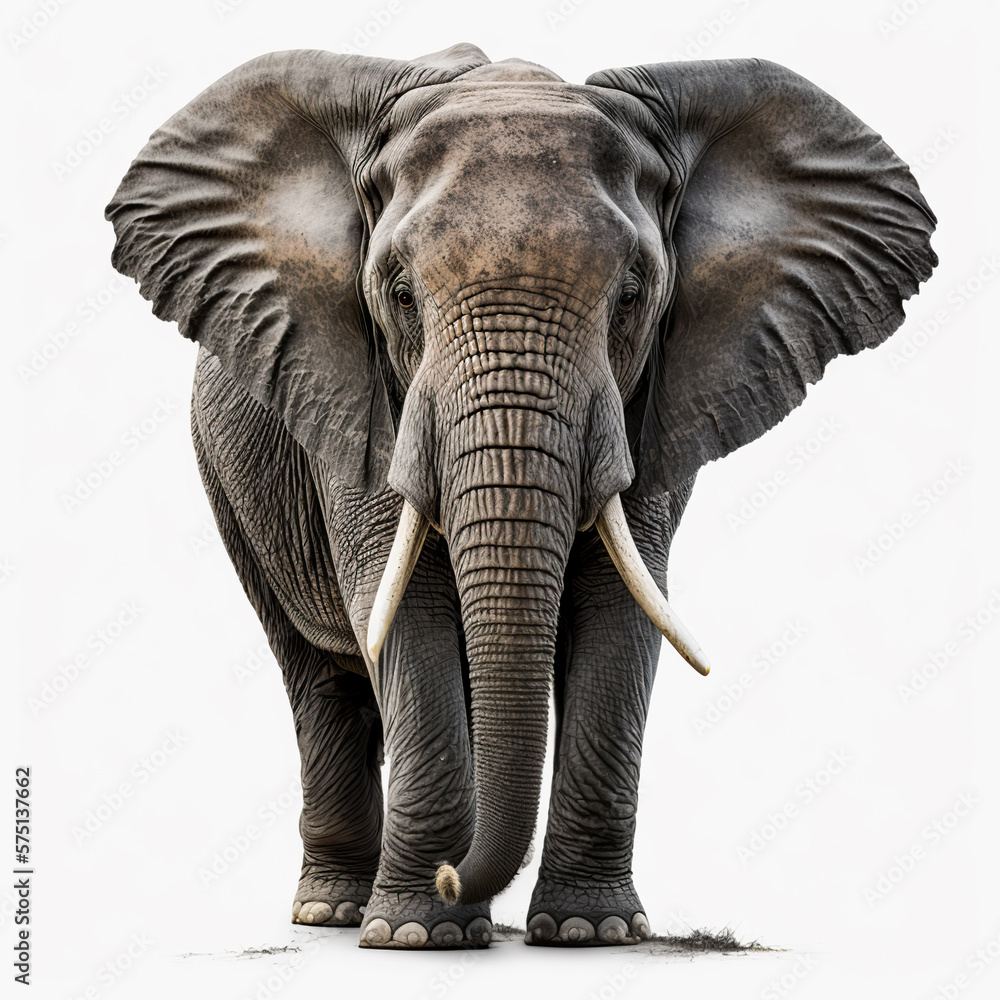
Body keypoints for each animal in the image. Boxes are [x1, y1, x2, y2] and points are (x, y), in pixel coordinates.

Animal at [105, 43, 936, 949]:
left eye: (633, 295)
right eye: (399, 293)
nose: (449, 876)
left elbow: (620, 606)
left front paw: (588, 932)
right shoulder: (358, 396)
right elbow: (404, 607)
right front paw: (418, 937)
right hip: (230, 481)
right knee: (316, 672)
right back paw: (333, 912)